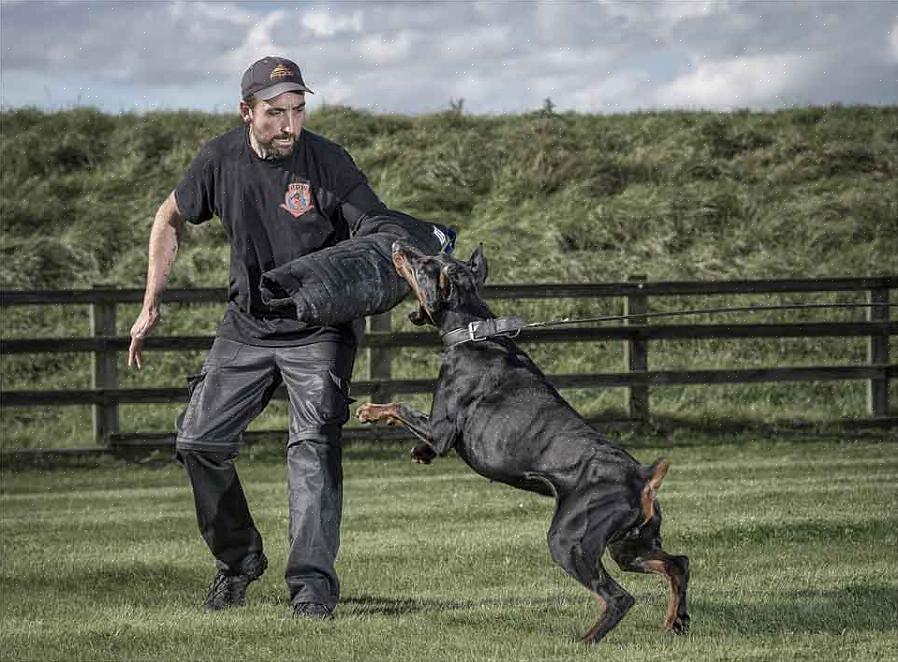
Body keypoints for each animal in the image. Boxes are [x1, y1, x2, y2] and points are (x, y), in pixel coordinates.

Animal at [356, 243, 688, 644]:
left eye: (423, 265)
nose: (398, 247)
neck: (474, 334)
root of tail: (643, 478)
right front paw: (420, 453)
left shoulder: (442, 428)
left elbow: (402, 408)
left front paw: (369, 411)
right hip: (630, 544)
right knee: (678, 564)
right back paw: (675, 621)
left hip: (571, 540)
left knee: (619, 597)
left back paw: (586, 640)